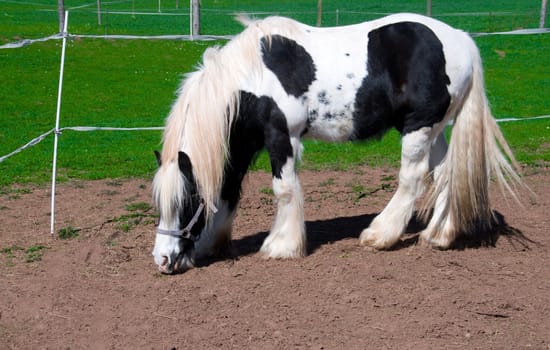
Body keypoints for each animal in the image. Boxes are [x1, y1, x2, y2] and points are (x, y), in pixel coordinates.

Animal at [150, 14, 520, 274]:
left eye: (185, 201)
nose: (163, 259)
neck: (251, 76)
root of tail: (460, 39)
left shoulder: (280, 137)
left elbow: (284, 189)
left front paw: (282, 246)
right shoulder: (243, 142)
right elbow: (227, 190)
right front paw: (210, 244)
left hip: (418, 127)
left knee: (412, 179)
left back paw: (380, 235)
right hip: (436, 129)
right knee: (445, 176)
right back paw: (439, 236)